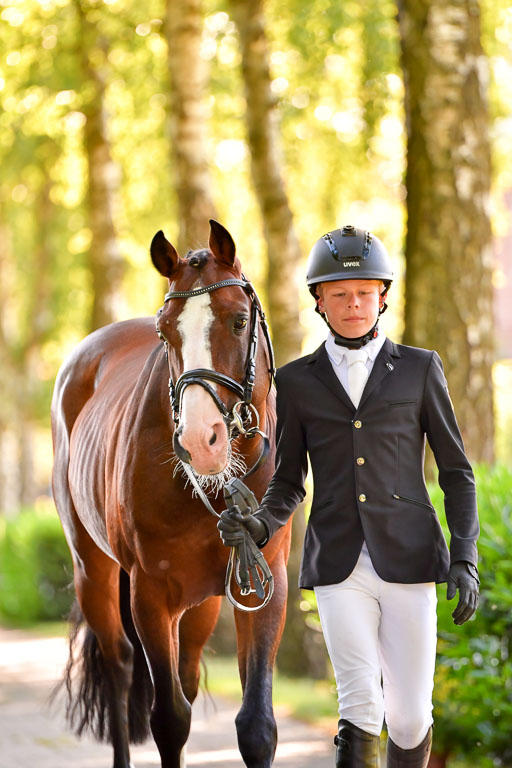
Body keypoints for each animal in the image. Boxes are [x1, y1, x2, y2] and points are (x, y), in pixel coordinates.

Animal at [51, 219, 292, 768]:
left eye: (239, 320)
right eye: (164, 331)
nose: (200, 441)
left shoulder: (266, 582)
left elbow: (257, 725)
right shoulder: (149, 592)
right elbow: (169, 720)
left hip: (201, 602)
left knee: (185, 670)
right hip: (93, 570)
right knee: (119, 664)